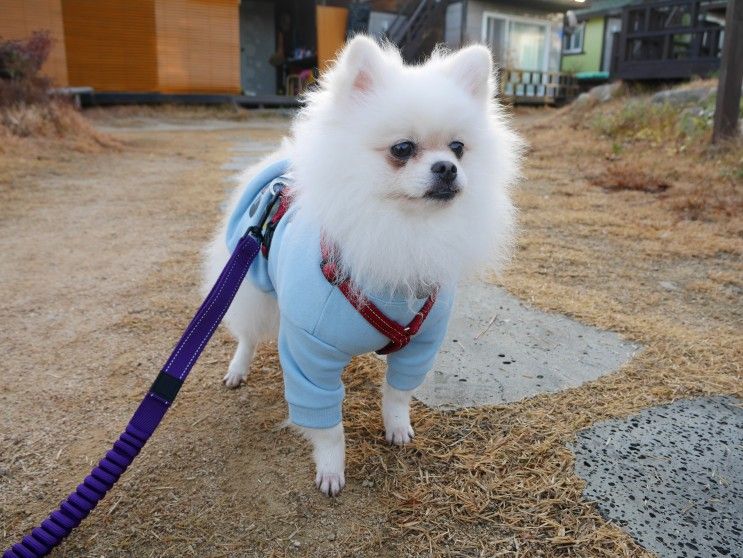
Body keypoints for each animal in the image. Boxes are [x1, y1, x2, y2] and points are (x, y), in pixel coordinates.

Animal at [201, 36, 520, 498]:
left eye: (458, 148)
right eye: (402, 149)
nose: (447, 167)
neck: (402, 229)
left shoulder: (421, 343)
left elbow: (397, 394)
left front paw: (397, 428)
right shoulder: (310, 352)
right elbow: (328, 427)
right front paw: (331, 469)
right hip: (251, 287)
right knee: (247, 333)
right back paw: (237, 369)